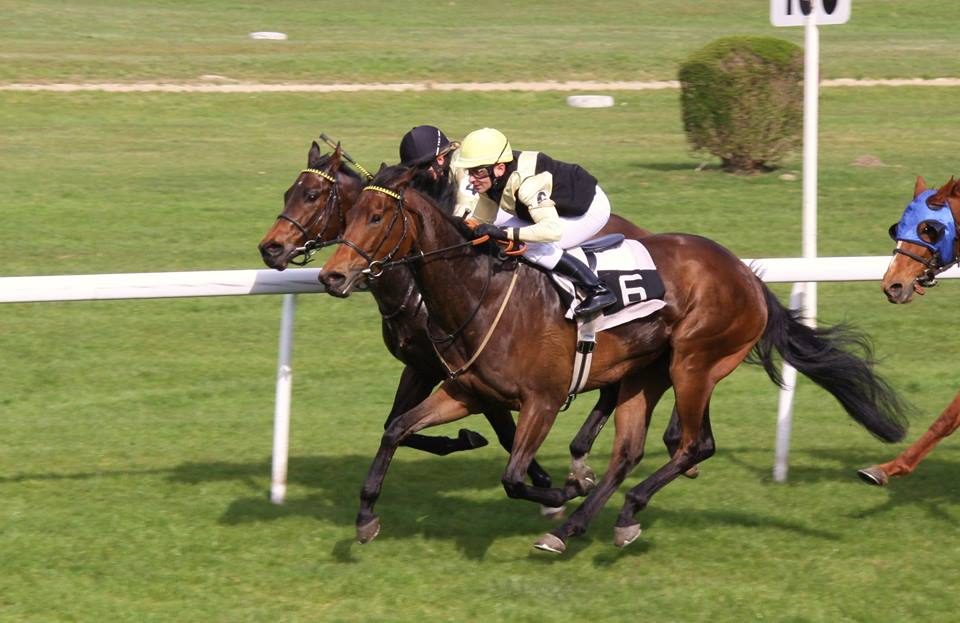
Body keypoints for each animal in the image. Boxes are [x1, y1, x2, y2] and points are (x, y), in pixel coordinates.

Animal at [257, 141, 665, 505]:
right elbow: (395, 423)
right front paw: (463, 440)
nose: (270, 248)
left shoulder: (467, 374)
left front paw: (541, 481)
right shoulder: (422, 367)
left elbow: (506, 432)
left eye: (311, 195)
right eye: (288, 192)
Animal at [318, 164, 909, 552]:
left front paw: (560, 490)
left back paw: (604, 512)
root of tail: (747, 275)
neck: (479, 292)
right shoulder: (464, 391)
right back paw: (582, 525)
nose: (332, 275)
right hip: (646, 374)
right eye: (348, 216)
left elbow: (513, 475)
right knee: (633, 451)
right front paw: (366, 516)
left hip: (694, 363)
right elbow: (396, 429)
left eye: (377, 216)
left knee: (693, 445)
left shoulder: (542, 400)